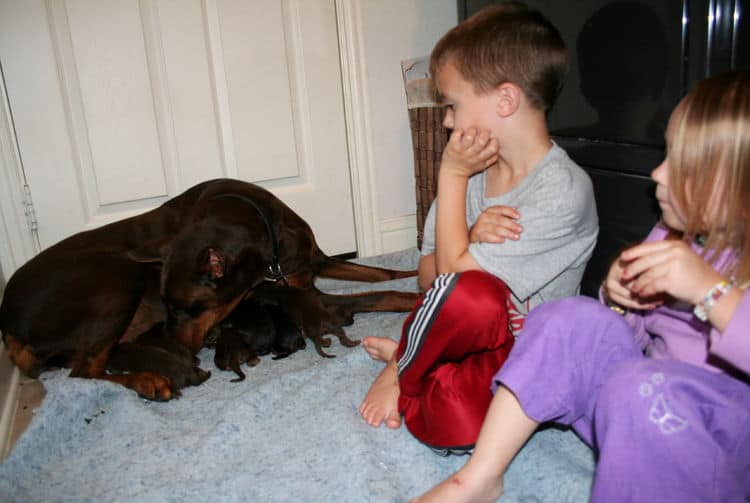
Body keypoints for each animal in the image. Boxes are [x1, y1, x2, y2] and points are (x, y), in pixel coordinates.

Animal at [0, 179, 420, 400]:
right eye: (169, 307)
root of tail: (9, 325)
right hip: (114, 280)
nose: (182, 349)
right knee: (83, 372)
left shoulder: (311, 263)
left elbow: (382, 274)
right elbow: (380, 296)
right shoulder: (307, 294)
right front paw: (417, 298)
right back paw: (148, 380)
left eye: (191, 309)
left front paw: (417, 269)